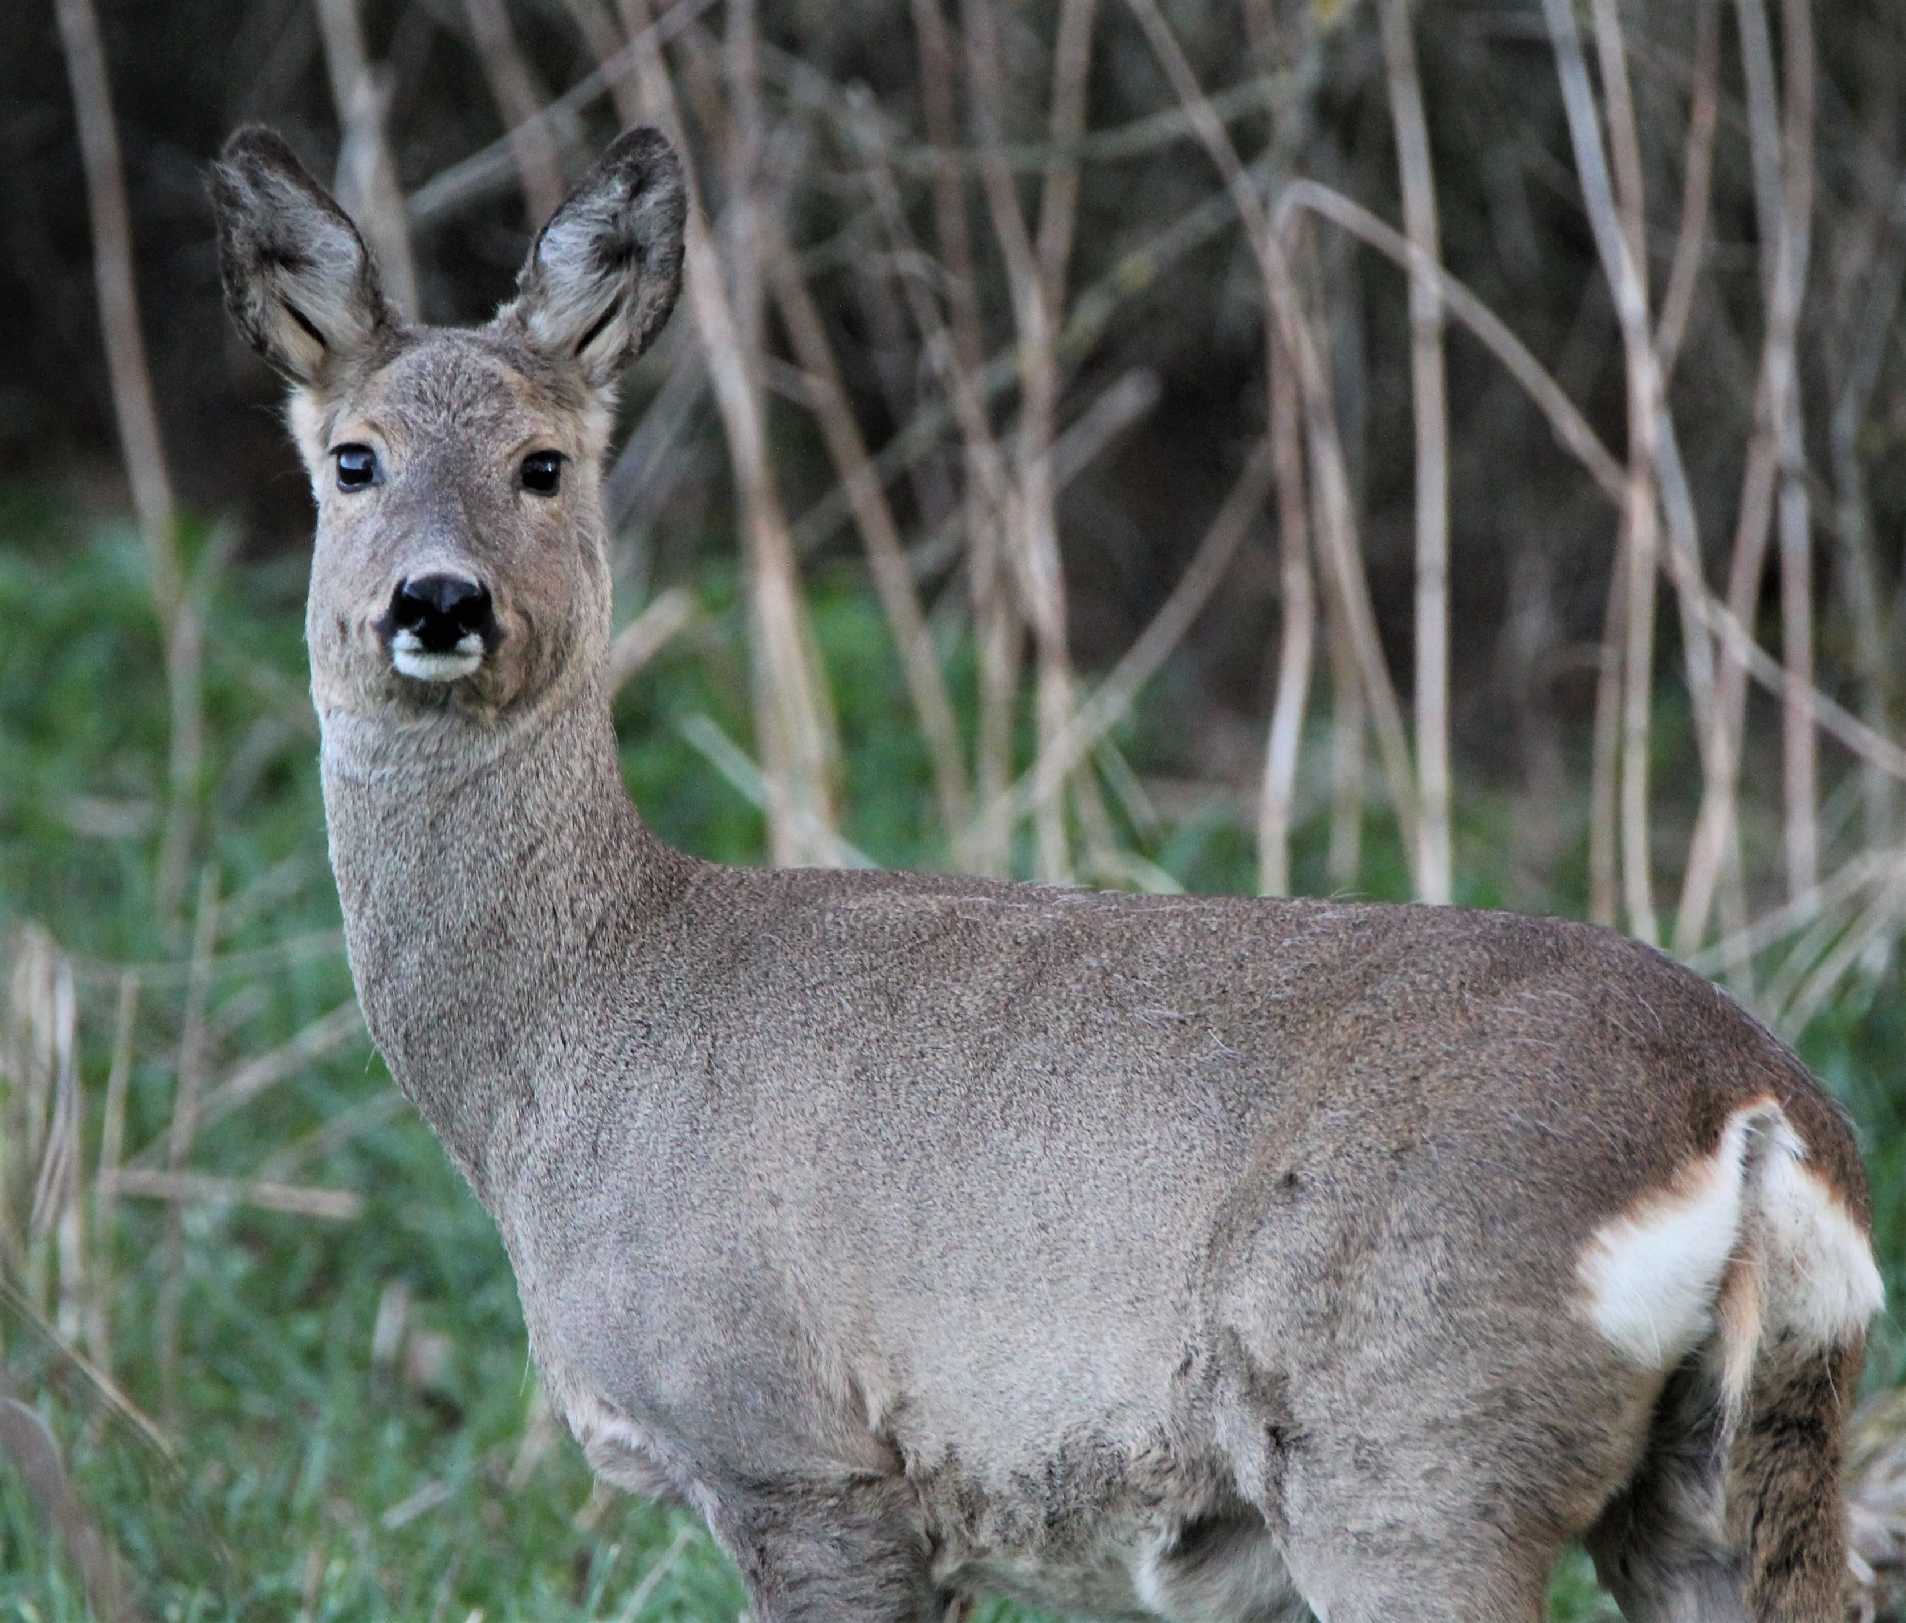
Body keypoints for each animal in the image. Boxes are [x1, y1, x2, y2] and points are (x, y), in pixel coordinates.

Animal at [212, 129, 1890, 1623]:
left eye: (543, 463)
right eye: (353, 459)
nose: (439, 601)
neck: (568, 1038)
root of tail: (1752, 1115)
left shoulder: (793, 1448)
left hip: (1413, 1451)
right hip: (1730, 1462)